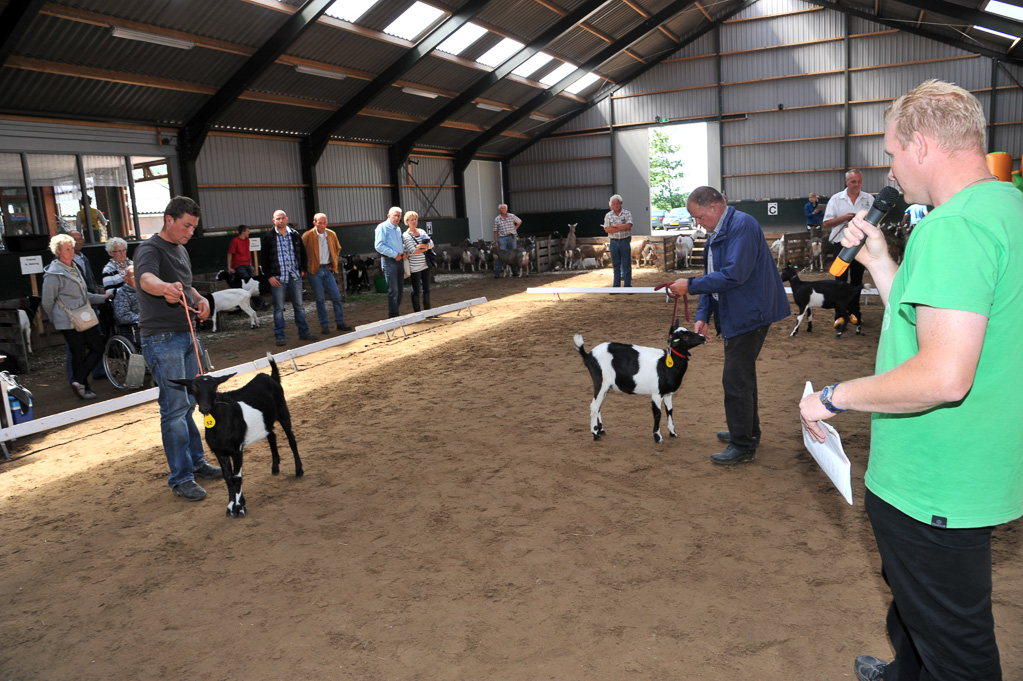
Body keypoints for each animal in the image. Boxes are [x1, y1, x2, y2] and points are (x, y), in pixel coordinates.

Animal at [167, 355, 300, 515]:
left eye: (214, 387)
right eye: (194, 387)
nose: (205, 407)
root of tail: (270, 377)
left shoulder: (237, 450)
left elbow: (237, 477)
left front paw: (239, 507)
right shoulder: (220, 452)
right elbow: (228, 477)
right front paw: (231, 505)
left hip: (283, 411)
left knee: (292, 439)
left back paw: (299, 470)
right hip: (266, 420)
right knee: (272, 436)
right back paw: (275, 467)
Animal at [572, 321, 707, 443]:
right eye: (685, 337)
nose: (703, 337)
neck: (668, 363)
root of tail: (588, 355)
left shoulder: (668, 393)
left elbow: (669, 411)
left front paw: (673, 432)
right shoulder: (656, 393)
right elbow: (657, 413)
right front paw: (657, 437)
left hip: (605, 386)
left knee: (598, 405)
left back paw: (601, 430)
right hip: (601, 381)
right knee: (594, 406)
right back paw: (595, 434)